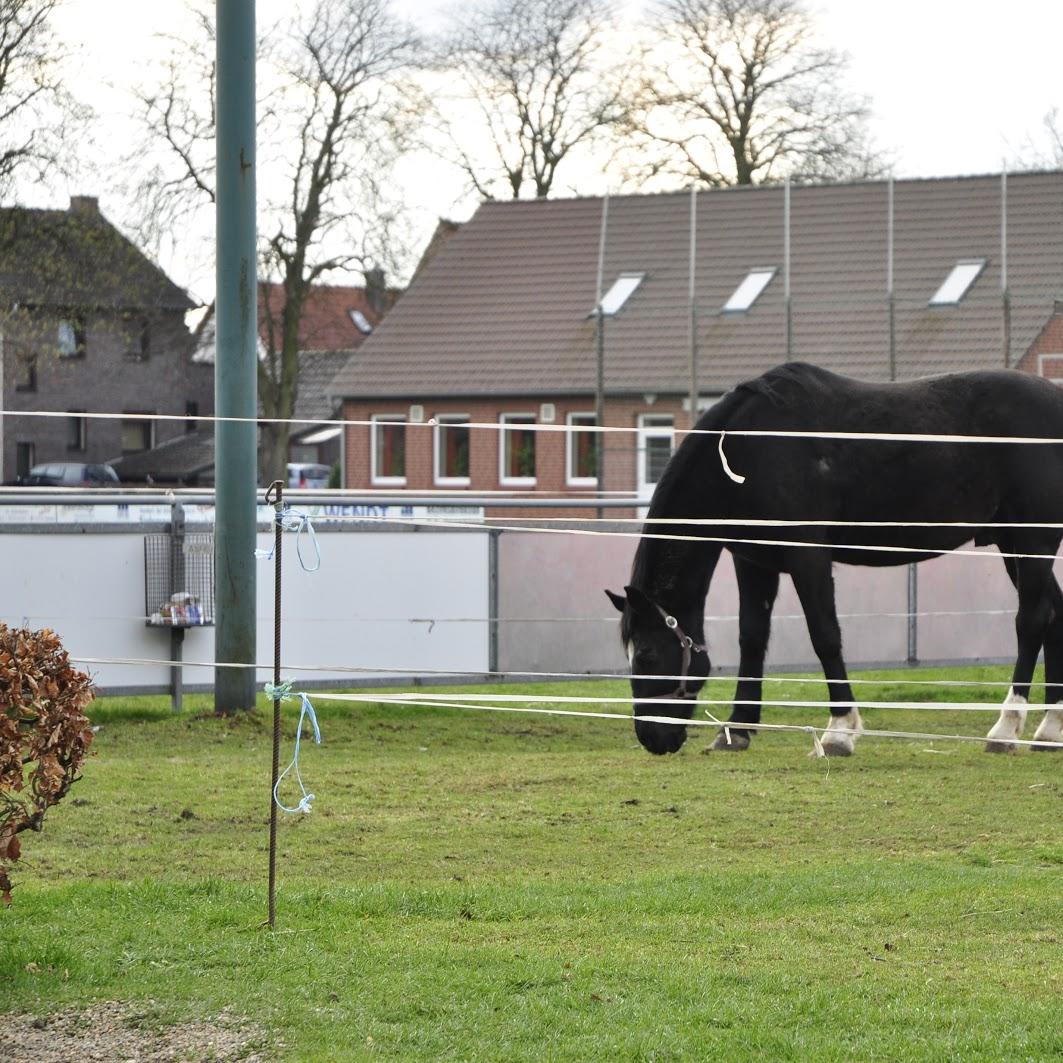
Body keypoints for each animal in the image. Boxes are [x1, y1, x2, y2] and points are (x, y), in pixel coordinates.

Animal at [612, 363, 1063, 756]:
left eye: (648, 655)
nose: (651, 738)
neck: (750, 449)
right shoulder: (754, 562)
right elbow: (752, 636)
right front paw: (736, 730)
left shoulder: (807, 557)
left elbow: (825, 635)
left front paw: (840, 732)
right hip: (1011, 543)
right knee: (1053, 615)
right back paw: (1049, 729)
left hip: (1034, 541)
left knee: (1031, 620)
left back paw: (1006, 729)